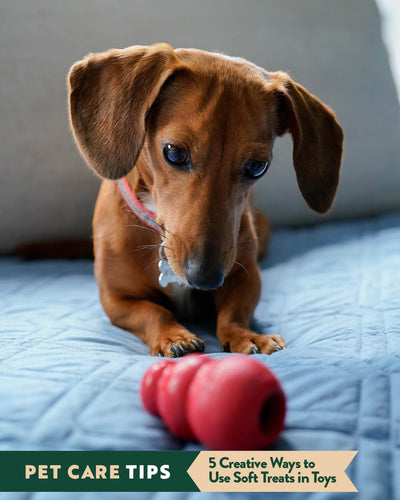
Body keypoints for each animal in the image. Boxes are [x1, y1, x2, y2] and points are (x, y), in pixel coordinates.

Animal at [67, 42, 342, 356]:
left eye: (257, 167)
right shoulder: (116, 299)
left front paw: (246, 336)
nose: (205, 280)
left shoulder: (247, 277)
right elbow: (154, 312)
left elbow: (233, 313)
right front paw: (173, 336)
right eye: (174, 153)